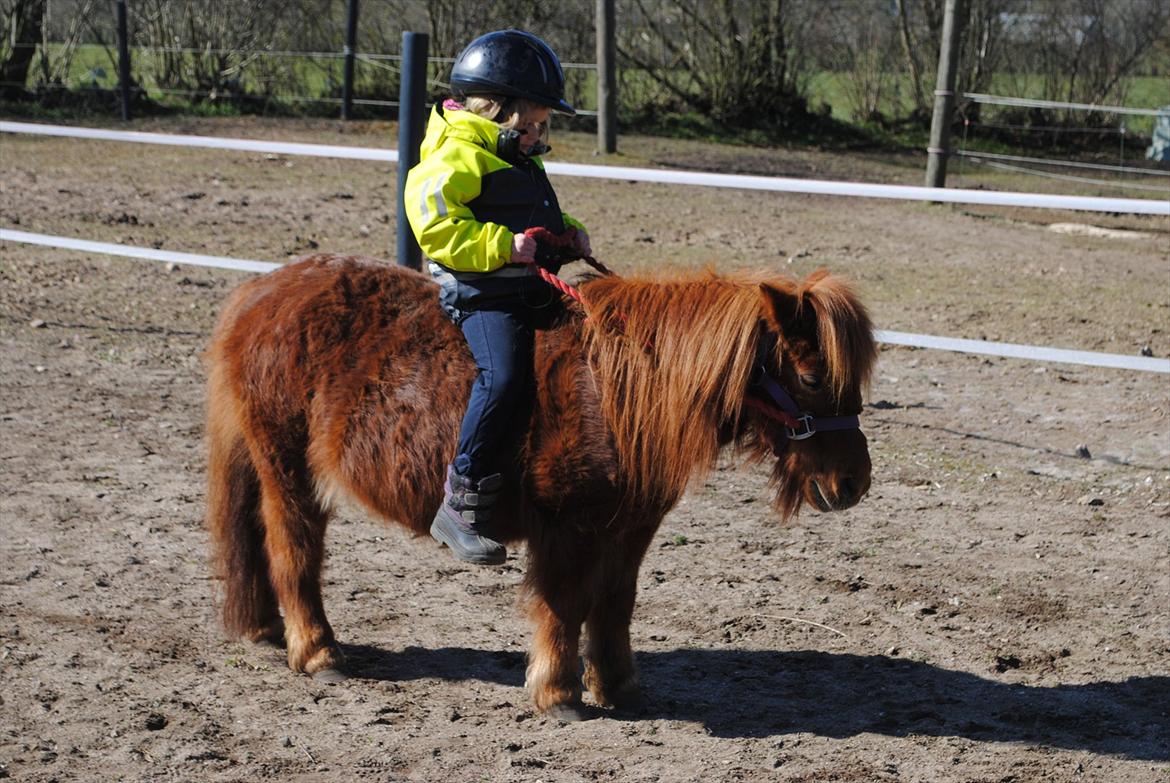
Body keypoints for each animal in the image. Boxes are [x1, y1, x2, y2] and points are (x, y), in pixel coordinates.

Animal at [203, 253, 879, 716]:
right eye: (812, 377)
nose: (853, 483)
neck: (615, 390)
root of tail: (260, 291)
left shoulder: (630, 528)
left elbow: (615, 602)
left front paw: (618, 684)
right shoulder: (567, 526)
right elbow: (565, 603)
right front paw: (558, 692)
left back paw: (269, 631)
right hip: (287, 468)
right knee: (293, 549)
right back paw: (318, 652)